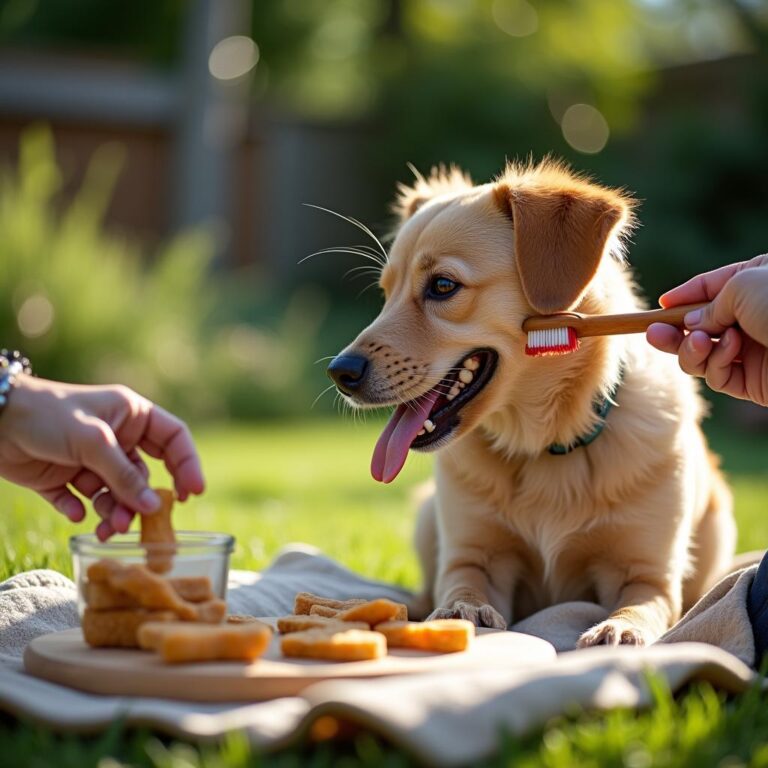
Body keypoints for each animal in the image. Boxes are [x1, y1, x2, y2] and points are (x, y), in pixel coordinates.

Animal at [328, 159, 736, 644]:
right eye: (385, 292)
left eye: (443, 285)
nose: (340, 372)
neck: (545, 444)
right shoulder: (474, 555)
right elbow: (462, 585)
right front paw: (461, 610)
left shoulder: (645, 573)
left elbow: (642, 606)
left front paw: (619, 628)